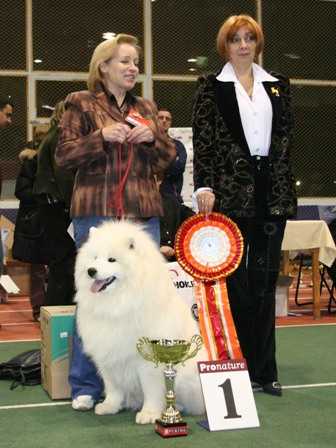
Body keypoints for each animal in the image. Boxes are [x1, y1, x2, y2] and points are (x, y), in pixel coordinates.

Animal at [75, 220, 206, 424]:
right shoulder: (108, 354)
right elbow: (113, 386)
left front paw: (149, 414)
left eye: (111, 260)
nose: (91, 271)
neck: (118, 303)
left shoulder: (147, 360)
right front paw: (110, 406)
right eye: (95, 258)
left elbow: (151, 389)